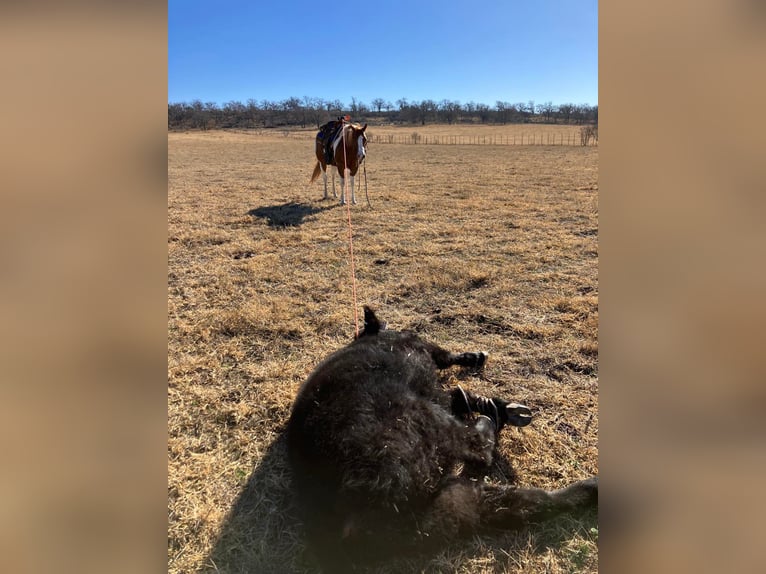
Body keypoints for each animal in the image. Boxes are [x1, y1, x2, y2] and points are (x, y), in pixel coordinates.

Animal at [284, 308, 596, 572]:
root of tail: (352, 526)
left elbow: (457, 393)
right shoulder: (429, 350)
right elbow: (449, 359)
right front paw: (476, 366)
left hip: (455, 505)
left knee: (534, 502)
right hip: (428, 423)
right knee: (480, 448)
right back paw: (490, 419)